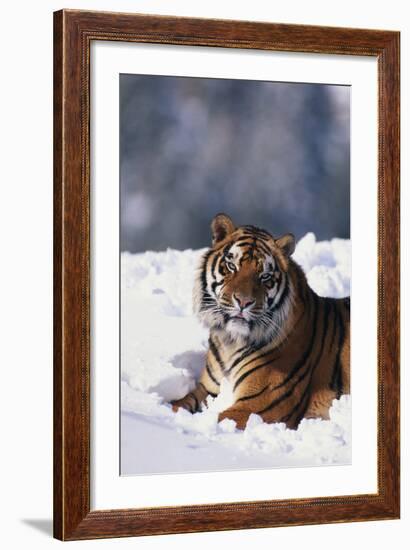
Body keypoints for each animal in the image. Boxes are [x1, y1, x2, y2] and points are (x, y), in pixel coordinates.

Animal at [170, 213, 350, 434]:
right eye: (232, 266)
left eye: (265, 276)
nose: (243, 302)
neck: (230, 341)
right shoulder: (208, 389)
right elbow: (178, 404)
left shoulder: (260, 403)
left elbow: (219, 418)